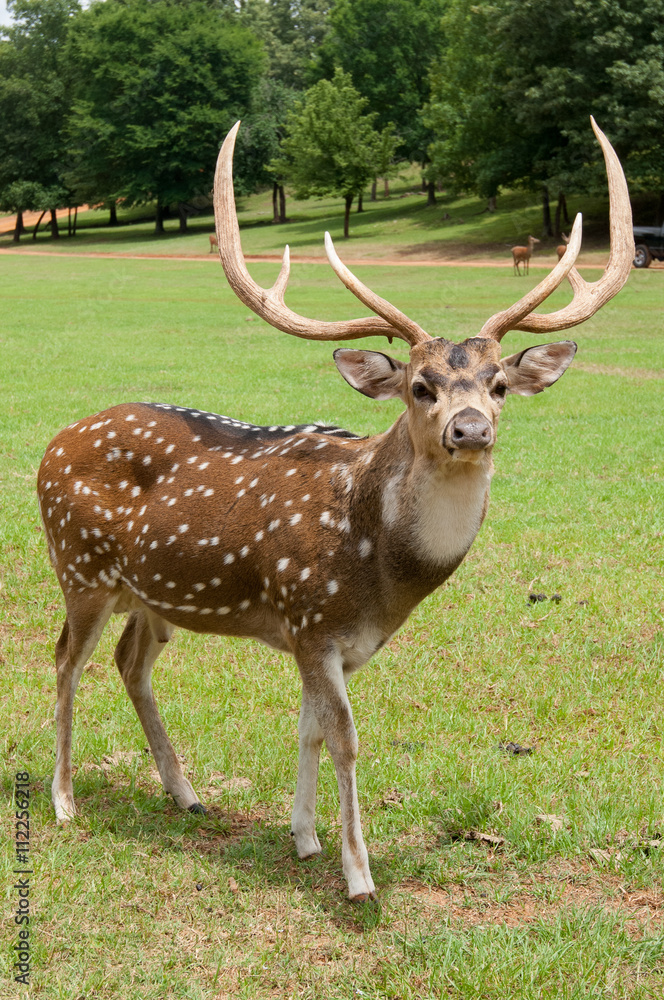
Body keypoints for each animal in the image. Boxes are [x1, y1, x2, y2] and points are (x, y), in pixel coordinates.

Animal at [38, 118, 633, 902]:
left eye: (500, 384)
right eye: (419, 386)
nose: (470, 429)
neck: (380, 571)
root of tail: (51, 444)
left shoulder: (322, 638)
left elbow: (310, 729)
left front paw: (304, 837)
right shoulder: (311, 615)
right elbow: (346, 738)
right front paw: (358, 873)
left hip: (152, 594)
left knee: (129, 662)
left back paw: (186, 793)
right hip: (79, 566)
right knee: (66, 660)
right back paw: (64, 800)